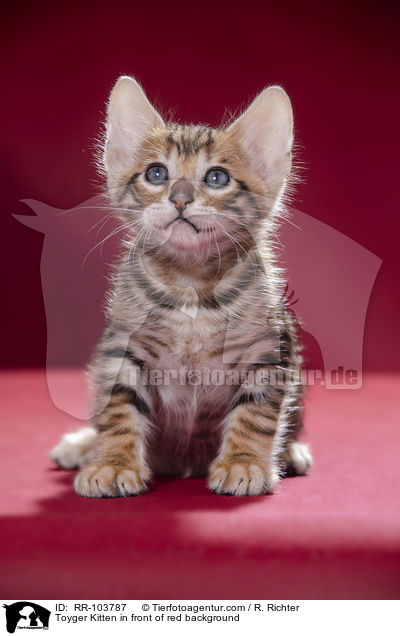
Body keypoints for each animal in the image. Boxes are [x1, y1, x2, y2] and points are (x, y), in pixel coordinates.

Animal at [50, 76, 312, 496]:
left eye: (217, 178)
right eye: (157, 174)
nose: (180, 198)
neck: (191, 286)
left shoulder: (269, 348)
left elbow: (256, 412)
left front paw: (244, 463)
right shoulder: (122, 345)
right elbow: (118, 408)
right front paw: (113, 464)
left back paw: (290, 452)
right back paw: (83, 446)